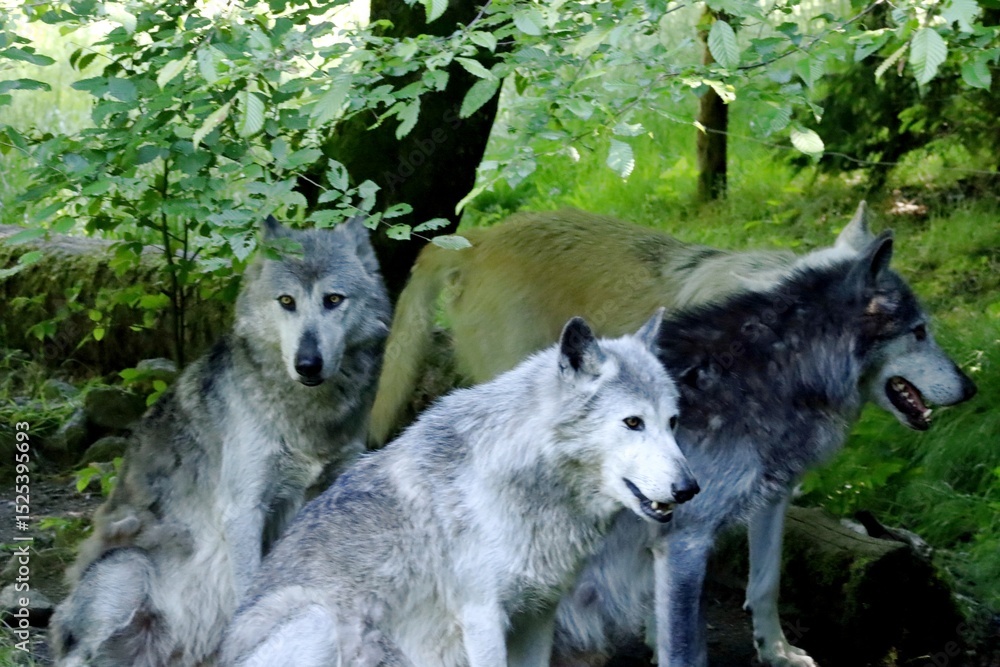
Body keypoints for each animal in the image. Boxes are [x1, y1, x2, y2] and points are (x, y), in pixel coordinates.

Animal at [50, 216, 392, 667]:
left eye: (333, 299)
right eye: (286, 301)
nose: (307, 364)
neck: (306, 416)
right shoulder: (244, 509)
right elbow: (251, 586)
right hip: (127, 571)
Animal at [219, 313, 700, 667]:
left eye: (672, 421)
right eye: (633, 422)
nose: (689, 488)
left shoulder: (538, 614)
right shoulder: (482, 616)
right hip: (321, 620)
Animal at [370, 205, 976, 667]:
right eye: (920, 331)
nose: (971, 387)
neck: (774, 367)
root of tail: (479, 238)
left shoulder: (764, 500)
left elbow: (765, 582)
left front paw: (776, 651)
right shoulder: (684, 537)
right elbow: (687, 645)